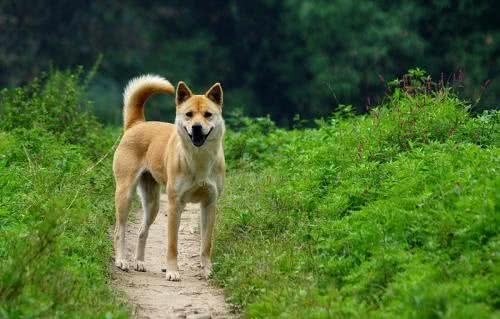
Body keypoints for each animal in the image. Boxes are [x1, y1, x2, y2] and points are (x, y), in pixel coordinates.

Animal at [113, 74, 225, 282]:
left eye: (208, 114)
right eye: (189, 114)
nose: (197, 128)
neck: (198, 159)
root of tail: (137, 124)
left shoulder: (209, 204)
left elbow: (206, 244)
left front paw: (207, 270)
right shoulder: (175, 205)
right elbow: (172, 244)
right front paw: (173, 271)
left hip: (153, 204)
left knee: (142, 231)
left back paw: (139, 262)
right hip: (125, 194)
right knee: (119, 231)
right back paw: (121, 260)